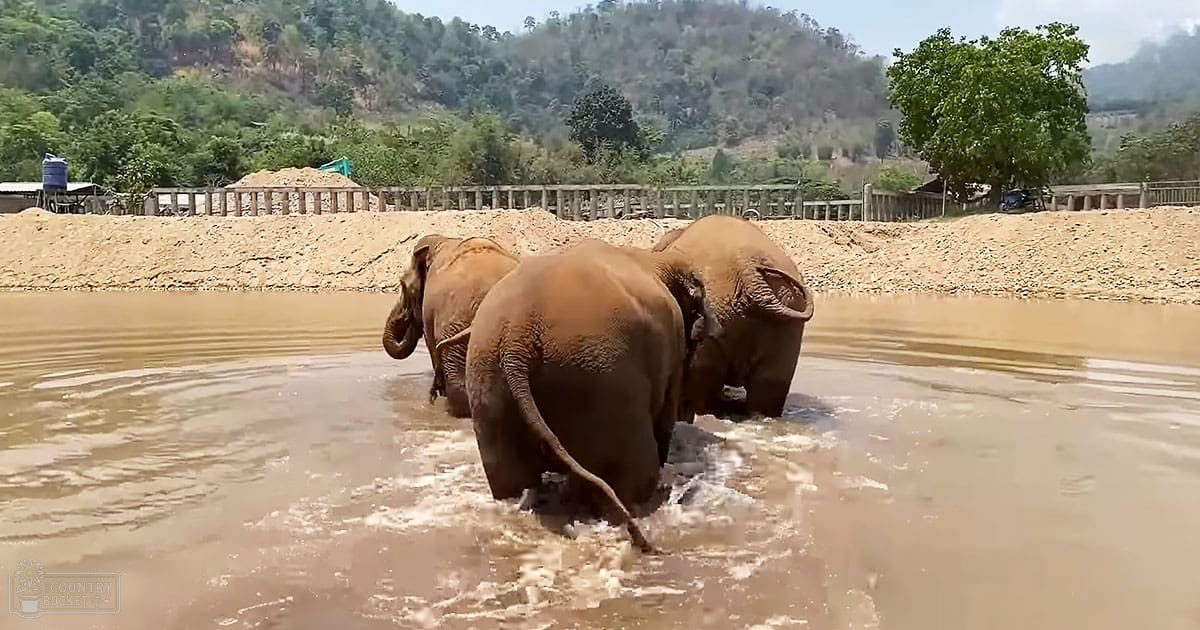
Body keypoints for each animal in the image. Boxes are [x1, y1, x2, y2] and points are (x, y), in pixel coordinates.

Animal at [440, 240, 717, 552]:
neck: (655, 260)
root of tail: (517, 336)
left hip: (488, 375)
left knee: (510, 479)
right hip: (600, 378)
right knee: (633, 471)